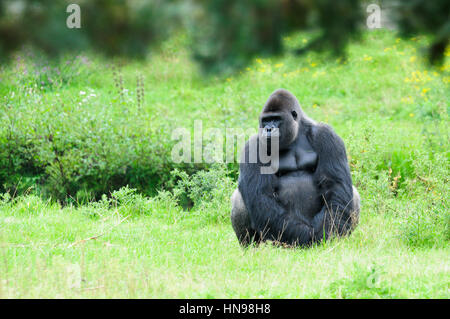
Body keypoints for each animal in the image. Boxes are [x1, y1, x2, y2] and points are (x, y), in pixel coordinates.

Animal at [230, 89, 360, 248]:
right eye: (265, 120)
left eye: (276, 119)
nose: (268, 129)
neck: (296, 134)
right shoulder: (253, 146)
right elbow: (262, 195)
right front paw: (306, 238)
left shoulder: (327, 135)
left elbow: (335, 186)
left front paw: (327, 235)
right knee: (239, 200)